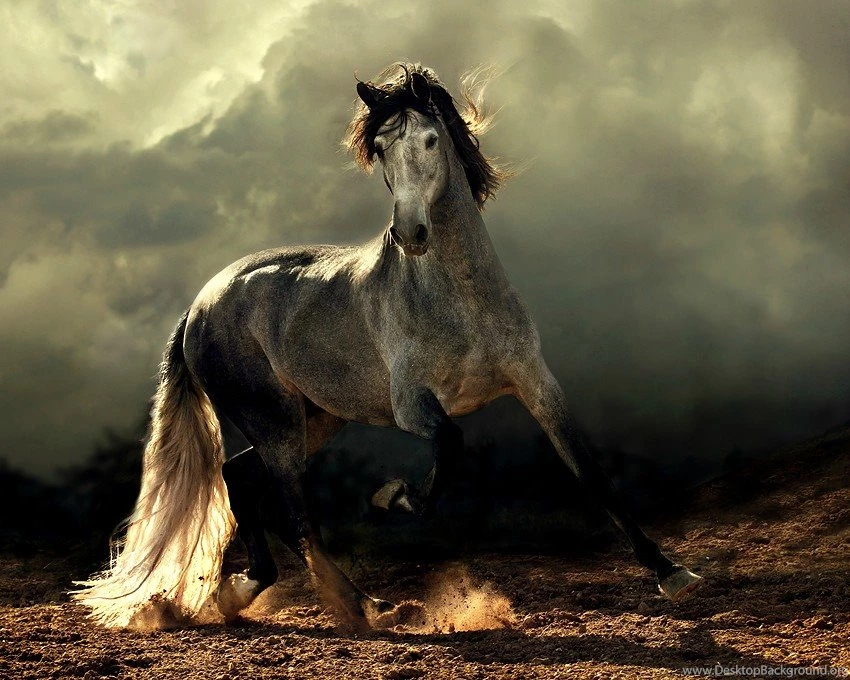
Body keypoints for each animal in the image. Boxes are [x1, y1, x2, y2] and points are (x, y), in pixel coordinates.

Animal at [73, 62, 703, 630]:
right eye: (378, 148)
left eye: (430, 139)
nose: (411, 233)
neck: (460, 299)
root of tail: (200, 304)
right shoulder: (412, 405)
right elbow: (449, 444)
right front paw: (392, 499)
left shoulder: (537, 385)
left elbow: (589, 471)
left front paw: (673, 574)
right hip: (274, 420)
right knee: (293, 512)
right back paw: (360, 607)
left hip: (314, 417)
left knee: (241, 480)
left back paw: (263, 591)